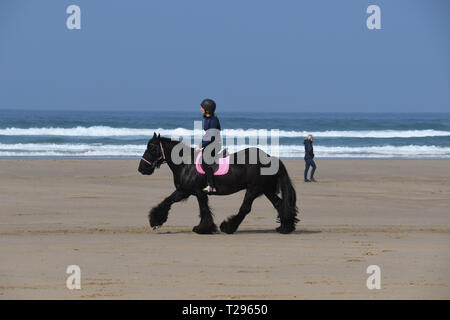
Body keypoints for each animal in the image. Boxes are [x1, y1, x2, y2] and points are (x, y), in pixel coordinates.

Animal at [138, 133, 298, 235]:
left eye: (152, 147)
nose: (141, 168)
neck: (186, 163)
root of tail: (271, 158)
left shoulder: (198, 192)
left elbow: (203, 209)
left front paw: (203, 229)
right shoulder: (184, 191)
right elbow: (167, 201)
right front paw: (155, 221)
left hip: (254, 188)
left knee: (245, 208)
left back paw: (228, 227)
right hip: (266, 190)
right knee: (279, 204)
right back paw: (285, 227)